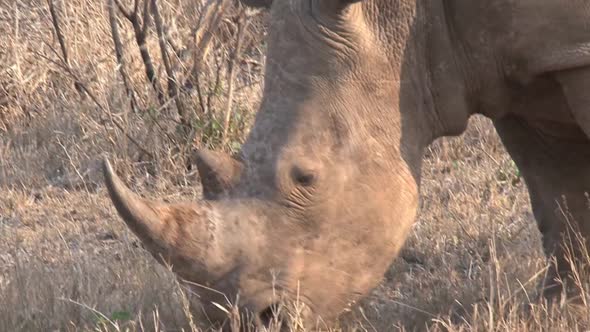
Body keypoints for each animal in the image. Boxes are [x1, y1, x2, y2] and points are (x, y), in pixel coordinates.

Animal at [102, 0, 590, 328]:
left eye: (306, 176)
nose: (247, 322)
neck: (407, 18)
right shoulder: (513, 71)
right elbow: (558, 197)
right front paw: (560, 311)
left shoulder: (574, 49)